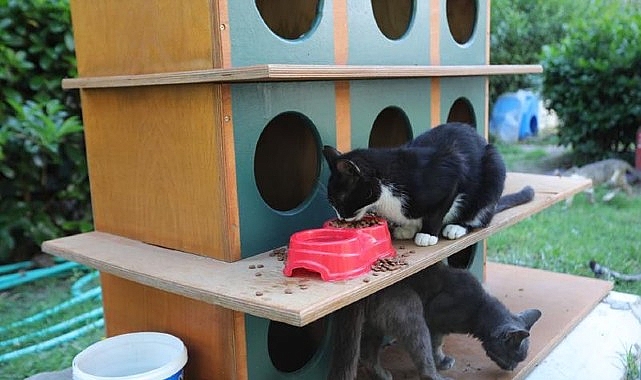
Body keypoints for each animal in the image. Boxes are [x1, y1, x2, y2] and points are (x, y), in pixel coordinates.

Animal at [322, 122, 516, 246]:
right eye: (331, 203)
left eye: (338, 200)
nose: (341, 218)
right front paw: (408, 228)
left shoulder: (449, 177)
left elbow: (437, 212)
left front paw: (427, 234)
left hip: (494, 171)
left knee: (480, 214)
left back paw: (457, 226)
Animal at [328, 256, 544, 378]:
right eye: (514, 356)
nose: (513, 369)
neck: (480, 309)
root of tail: (360, 297)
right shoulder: (435, 320)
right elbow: (437, 343)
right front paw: (441, 361)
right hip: (410, 307)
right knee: (421, 355)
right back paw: (435, 376)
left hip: (376, 325)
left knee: (367, 355)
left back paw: (382, 374)